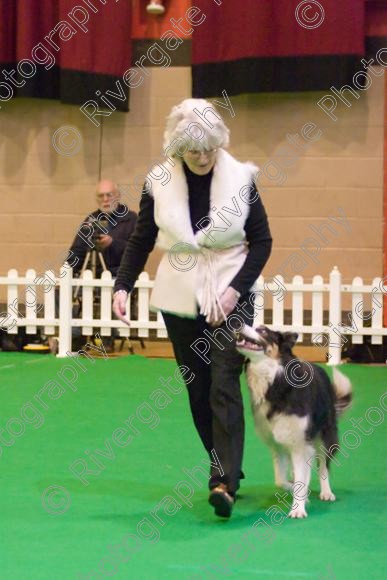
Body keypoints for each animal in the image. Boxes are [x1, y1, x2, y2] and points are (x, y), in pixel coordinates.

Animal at [238, 324, 354, 520]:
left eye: (263, 331)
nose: (237, 324)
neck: (275, 381)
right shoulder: (278, 443)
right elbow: (281, 480)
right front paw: (299, 492)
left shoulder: (301, 442)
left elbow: (304, 475)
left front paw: (298, 509)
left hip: (325, 435)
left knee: (323, 466)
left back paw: (326, 492)